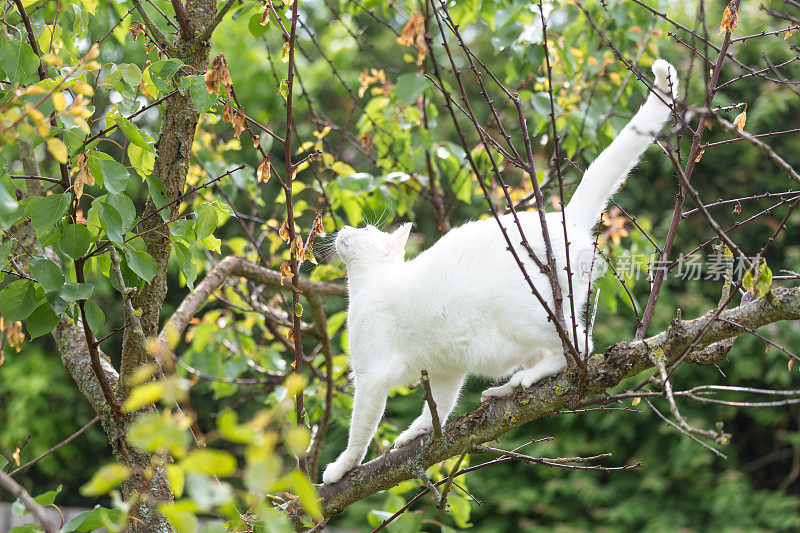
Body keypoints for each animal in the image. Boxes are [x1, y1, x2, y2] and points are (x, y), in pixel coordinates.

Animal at [322, 60, 680, 484]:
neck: (368, 284)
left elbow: (359, 431)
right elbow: (439, 408)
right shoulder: (443, 370)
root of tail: (563, 219)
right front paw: (418, 433)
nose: (345, 229)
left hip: (528, 313)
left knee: (581, 345)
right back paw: (508, 389)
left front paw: (341, 468)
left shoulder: (371, 377)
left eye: (363, 230)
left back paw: (523, 380)